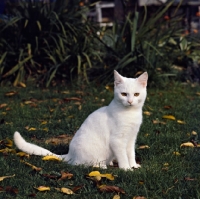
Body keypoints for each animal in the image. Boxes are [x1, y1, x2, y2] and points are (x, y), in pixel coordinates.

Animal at [13, 70, 147, 169]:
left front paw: (133, 165)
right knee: (81, 165)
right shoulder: (117, 140)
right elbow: (123, 156)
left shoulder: (131, 138)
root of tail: (70, 154)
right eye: (124, 94)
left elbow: (131, 154)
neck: (130, 114)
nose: (130, 101)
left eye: (136, 94)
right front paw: (126, 168)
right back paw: (101, 166)